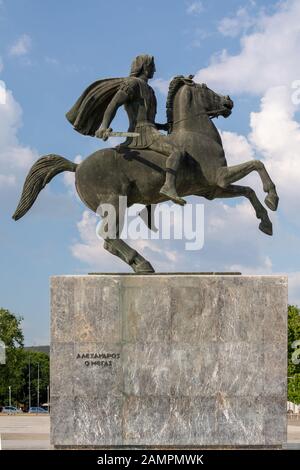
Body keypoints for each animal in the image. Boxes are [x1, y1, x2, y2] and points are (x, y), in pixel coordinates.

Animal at [12, 75, 278, 274]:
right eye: (205, 87)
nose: (228, 102)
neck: (197, 134)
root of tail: (77, 166)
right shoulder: (220, 177)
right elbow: (257, 164)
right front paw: (273, 197)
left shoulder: (212, 189)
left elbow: (249, 190)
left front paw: (266, 221)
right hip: (114, 203)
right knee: (108, 236)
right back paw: (143, 263)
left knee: (109, 241)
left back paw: (139, 264)